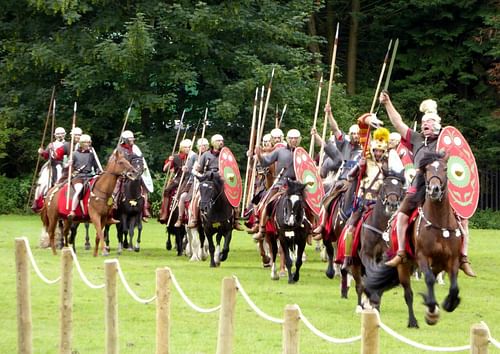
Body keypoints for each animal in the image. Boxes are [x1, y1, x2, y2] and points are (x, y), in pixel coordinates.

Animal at [362, 151, 462, 328]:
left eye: (445, 169)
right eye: (427, 169)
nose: (435, 189)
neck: (439, 223)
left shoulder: (452, 259)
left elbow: (454, 286)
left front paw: (449, 303)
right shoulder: (423, 257)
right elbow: (428, 279)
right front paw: (431, 311)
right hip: (404, 266)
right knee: (408, 293)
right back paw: (413, 321)